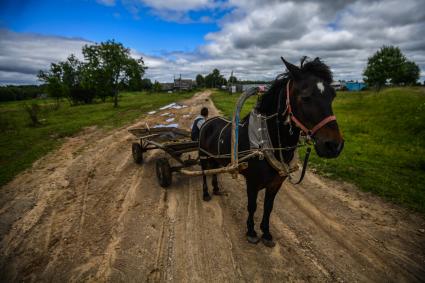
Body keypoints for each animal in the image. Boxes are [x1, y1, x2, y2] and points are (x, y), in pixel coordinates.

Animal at [200, 56, 344, 247]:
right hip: (202, 157)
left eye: (333, 96)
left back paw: (216, 189)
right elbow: (252, 206)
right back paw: (206, 193)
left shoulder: (276, 183)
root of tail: (207, 121)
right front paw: (251, 232)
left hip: (216, 158)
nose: (334, 146)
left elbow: (269, 207)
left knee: (215, 171)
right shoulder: (252, 183)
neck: (266, 143)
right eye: (305, 97)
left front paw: (266, 233)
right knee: (204, 173)